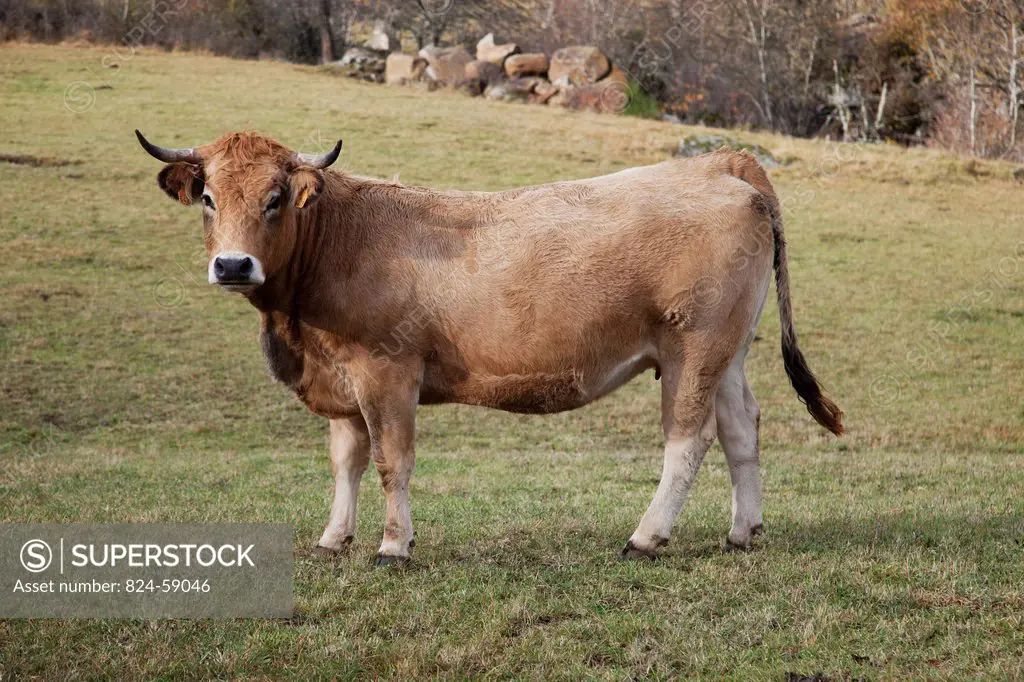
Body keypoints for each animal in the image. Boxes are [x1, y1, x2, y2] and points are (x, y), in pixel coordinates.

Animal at [136, 129, 839, 561]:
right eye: (208, 197)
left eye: (276, 197)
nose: (232, 265)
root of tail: (722, 164)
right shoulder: (342, 380)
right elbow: (346, 461)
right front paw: (335, 538)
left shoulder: (387, 371)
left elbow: (391, 461)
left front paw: (393, 546)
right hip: (727, 352)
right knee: (741, 428)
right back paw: (743, 532)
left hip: (691, 348)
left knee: (688, 440)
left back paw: (646, 536)